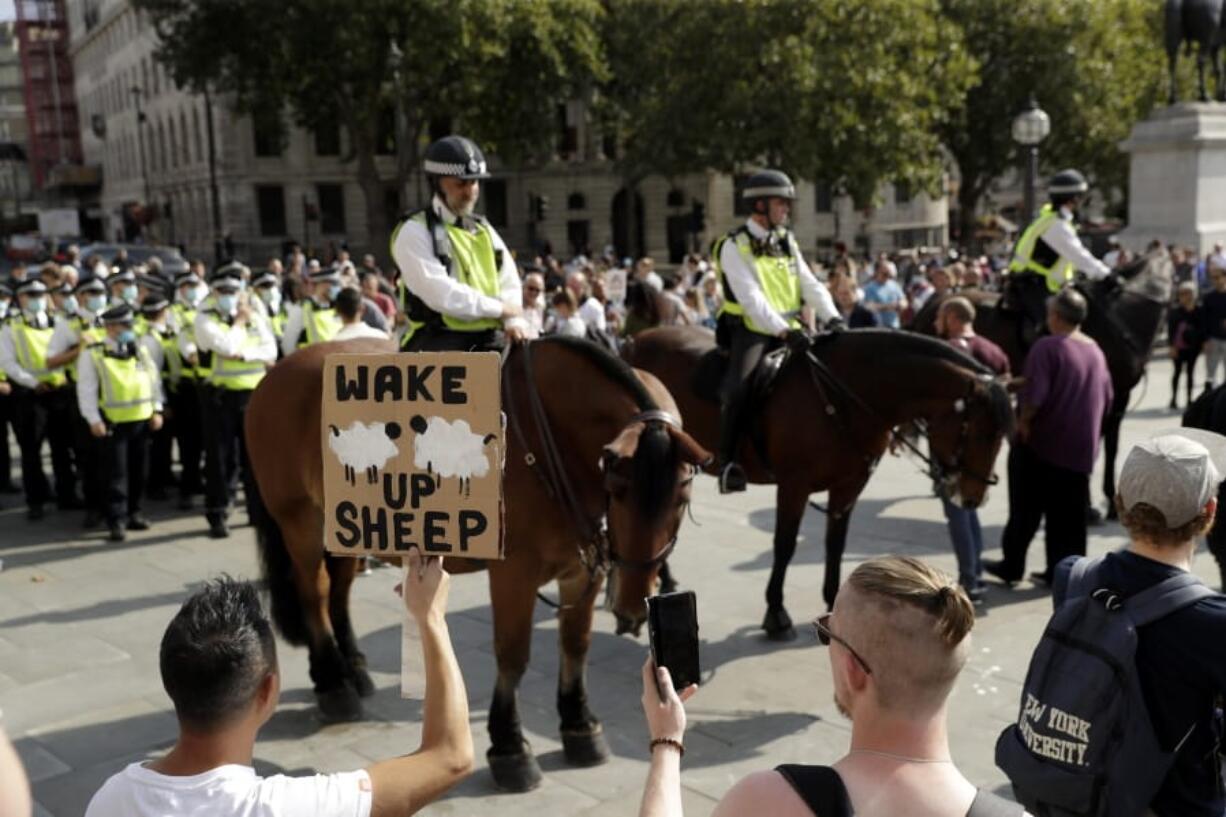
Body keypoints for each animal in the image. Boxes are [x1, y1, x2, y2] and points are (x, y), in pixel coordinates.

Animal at [241, 331, 711, 790]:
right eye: (618, 487)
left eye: (683, 496)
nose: (633, 606)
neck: (550, 440)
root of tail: (273, 373)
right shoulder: (514, 572)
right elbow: (513, 654)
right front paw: (510, 747)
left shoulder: (583, 568)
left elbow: (575, 644)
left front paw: (579, 724)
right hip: (301, 519)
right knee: (315, 592)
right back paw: (333, 683)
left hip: (345, 525)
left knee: (339, 590)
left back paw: (352, 667)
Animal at [627, 326, 1010, 637]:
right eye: (981, 433)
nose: (974, 499)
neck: (841, 395)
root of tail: (637, 339)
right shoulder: (794, 485)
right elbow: (784, 545)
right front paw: (776, 613)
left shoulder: (848, 486)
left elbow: (835, 544)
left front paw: (834, 602)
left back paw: (664, 576)